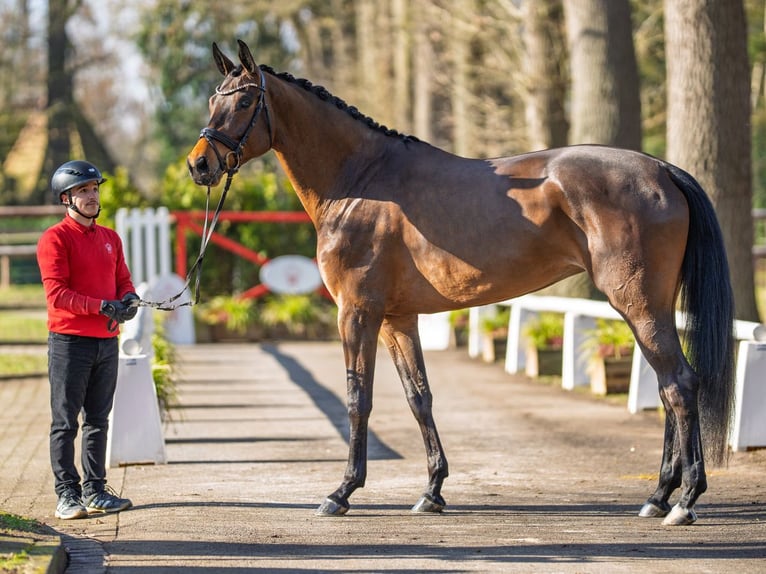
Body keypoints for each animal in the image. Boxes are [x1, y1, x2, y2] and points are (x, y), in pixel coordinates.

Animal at [187, 40, 735, 526]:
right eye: (213, 99)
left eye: (243, 100)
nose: (199, 164)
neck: (360, 182)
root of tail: (660, 169)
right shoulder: (397, 319)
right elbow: (418, 397)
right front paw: (431, 491)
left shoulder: (357, 312)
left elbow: (357, 398)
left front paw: (341, 492)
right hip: (647, 307)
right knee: (666, 389)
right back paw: (659, 496)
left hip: (637, 304)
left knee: (680, 385)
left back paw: (684, 500)